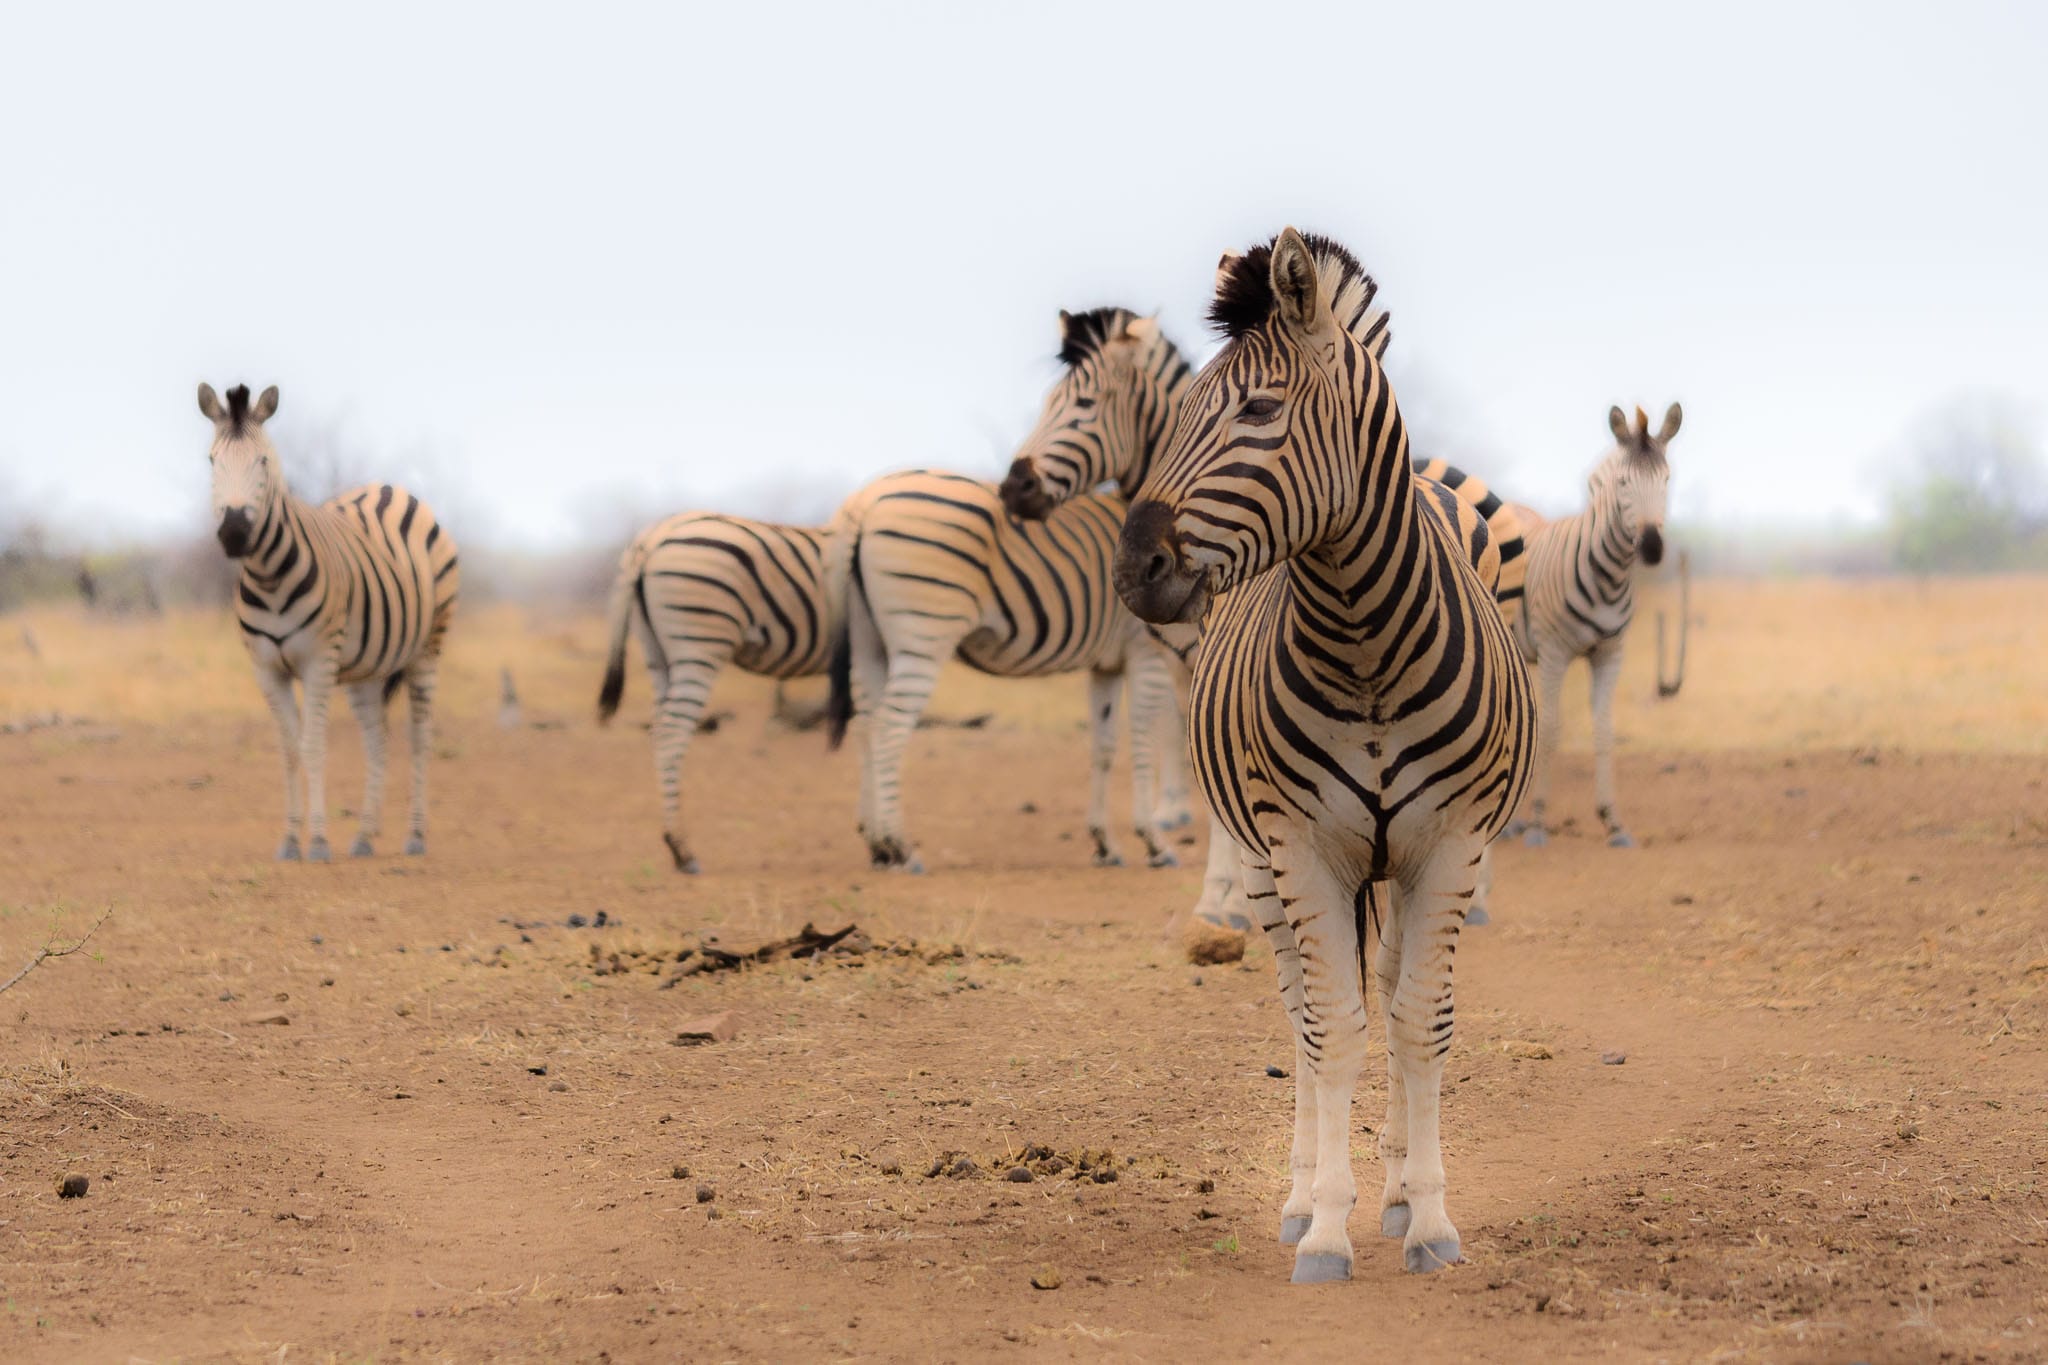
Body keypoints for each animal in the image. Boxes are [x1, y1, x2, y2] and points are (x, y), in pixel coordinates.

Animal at [199, 382, 459, 862]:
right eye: (212, 460)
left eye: (263, 461)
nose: (235, 534)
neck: (268, 576)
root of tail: (389, 487)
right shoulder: (266, 669)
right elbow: (288, 749)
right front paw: (289, 841)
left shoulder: (318, 662)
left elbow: (312, 746)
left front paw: (317, 842)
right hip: (366, 669)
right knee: (378, 740)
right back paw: (364, 837)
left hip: (428, 648)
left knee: (419, 738)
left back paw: (415, 836)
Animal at [596, 499, 866, 874]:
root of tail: (651, 538)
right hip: (699, 641)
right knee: (672, 732)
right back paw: (682, 849)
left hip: (655, 650)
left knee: (658, 728)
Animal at [1113, 230, 1535, 1281]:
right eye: (1181, 410)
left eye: (1260, 410)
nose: (1133, 569)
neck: (1366, 639)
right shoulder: (1302, 848)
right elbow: (1330, 1028)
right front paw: (1326, 1229)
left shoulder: (1450, 845)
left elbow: (1419, 1020)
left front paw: (1425, 1217)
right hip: (1267, 863)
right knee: (1302, 1004)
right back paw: (1306, 1196)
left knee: (1385, 990)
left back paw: (1392, 1186)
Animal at [1512, 402, 1681, 849]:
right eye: (1623, 482)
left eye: (1667, 480)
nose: (1652, 547)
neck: (1608, 577)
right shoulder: (1554, 652)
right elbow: (1551, 729)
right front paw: (1537, 825)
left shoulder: (1609, 653)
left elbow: (1605, 730)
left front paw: (1613, 822)